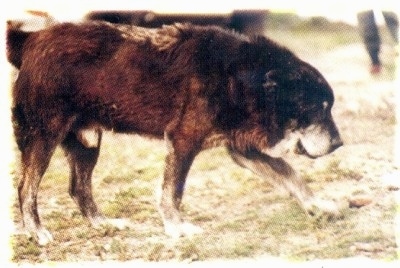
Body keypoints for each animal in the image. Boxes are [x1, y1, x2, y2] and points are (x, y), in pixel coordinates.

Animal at [6, 21, 342, 245]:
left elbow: (291, 175)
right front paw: (177, 228)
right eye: (319, 108)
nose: (339, 143)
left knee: (78, 188)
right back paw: (36, 232)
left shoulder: (243, 150)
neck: (239, 79)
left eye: (328, 107)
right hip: (43, 137)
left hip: (87, 141)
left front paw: (316, 205)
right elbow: (173, 192)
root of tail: (31, 38)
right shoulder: (183, 142)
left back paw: (102, 223)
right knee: (26, 189)